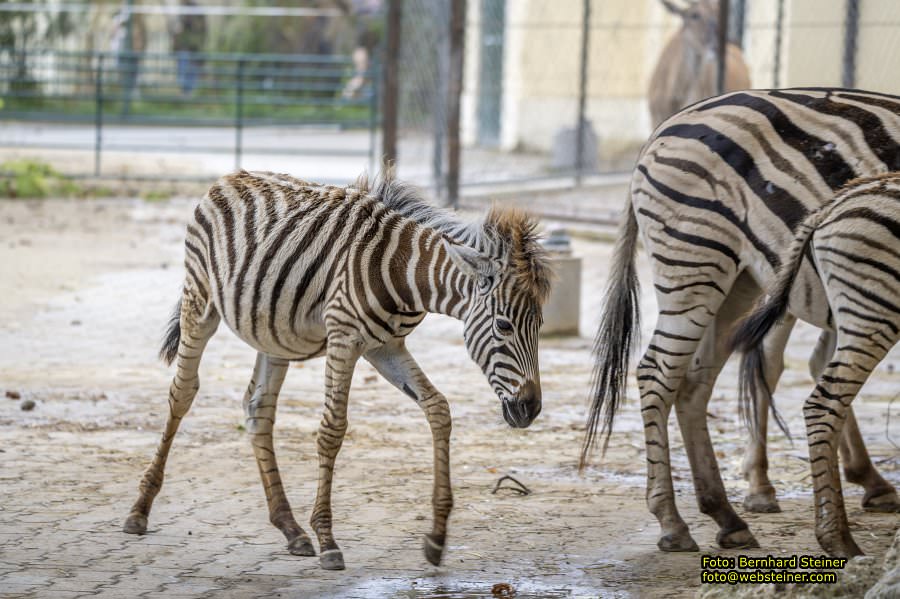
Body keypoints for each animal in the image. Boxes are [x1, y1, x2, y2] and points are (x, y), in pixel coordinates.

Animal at [123, 170, 552, 572]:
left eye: (540, 325)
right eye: (504, 326)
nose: (529, 409)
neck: (403, 273)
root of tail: (232, 175)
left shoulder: (385, 347)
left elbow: (438, 409)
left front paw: (436, 536)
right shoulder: (344, 337)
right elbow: (332, 429)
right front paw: (328, 540)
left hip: (273, 332)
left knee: (258, 409)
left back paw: (291, 529)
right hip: (200, 301)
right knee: (183, 392)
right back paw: (139, 510)